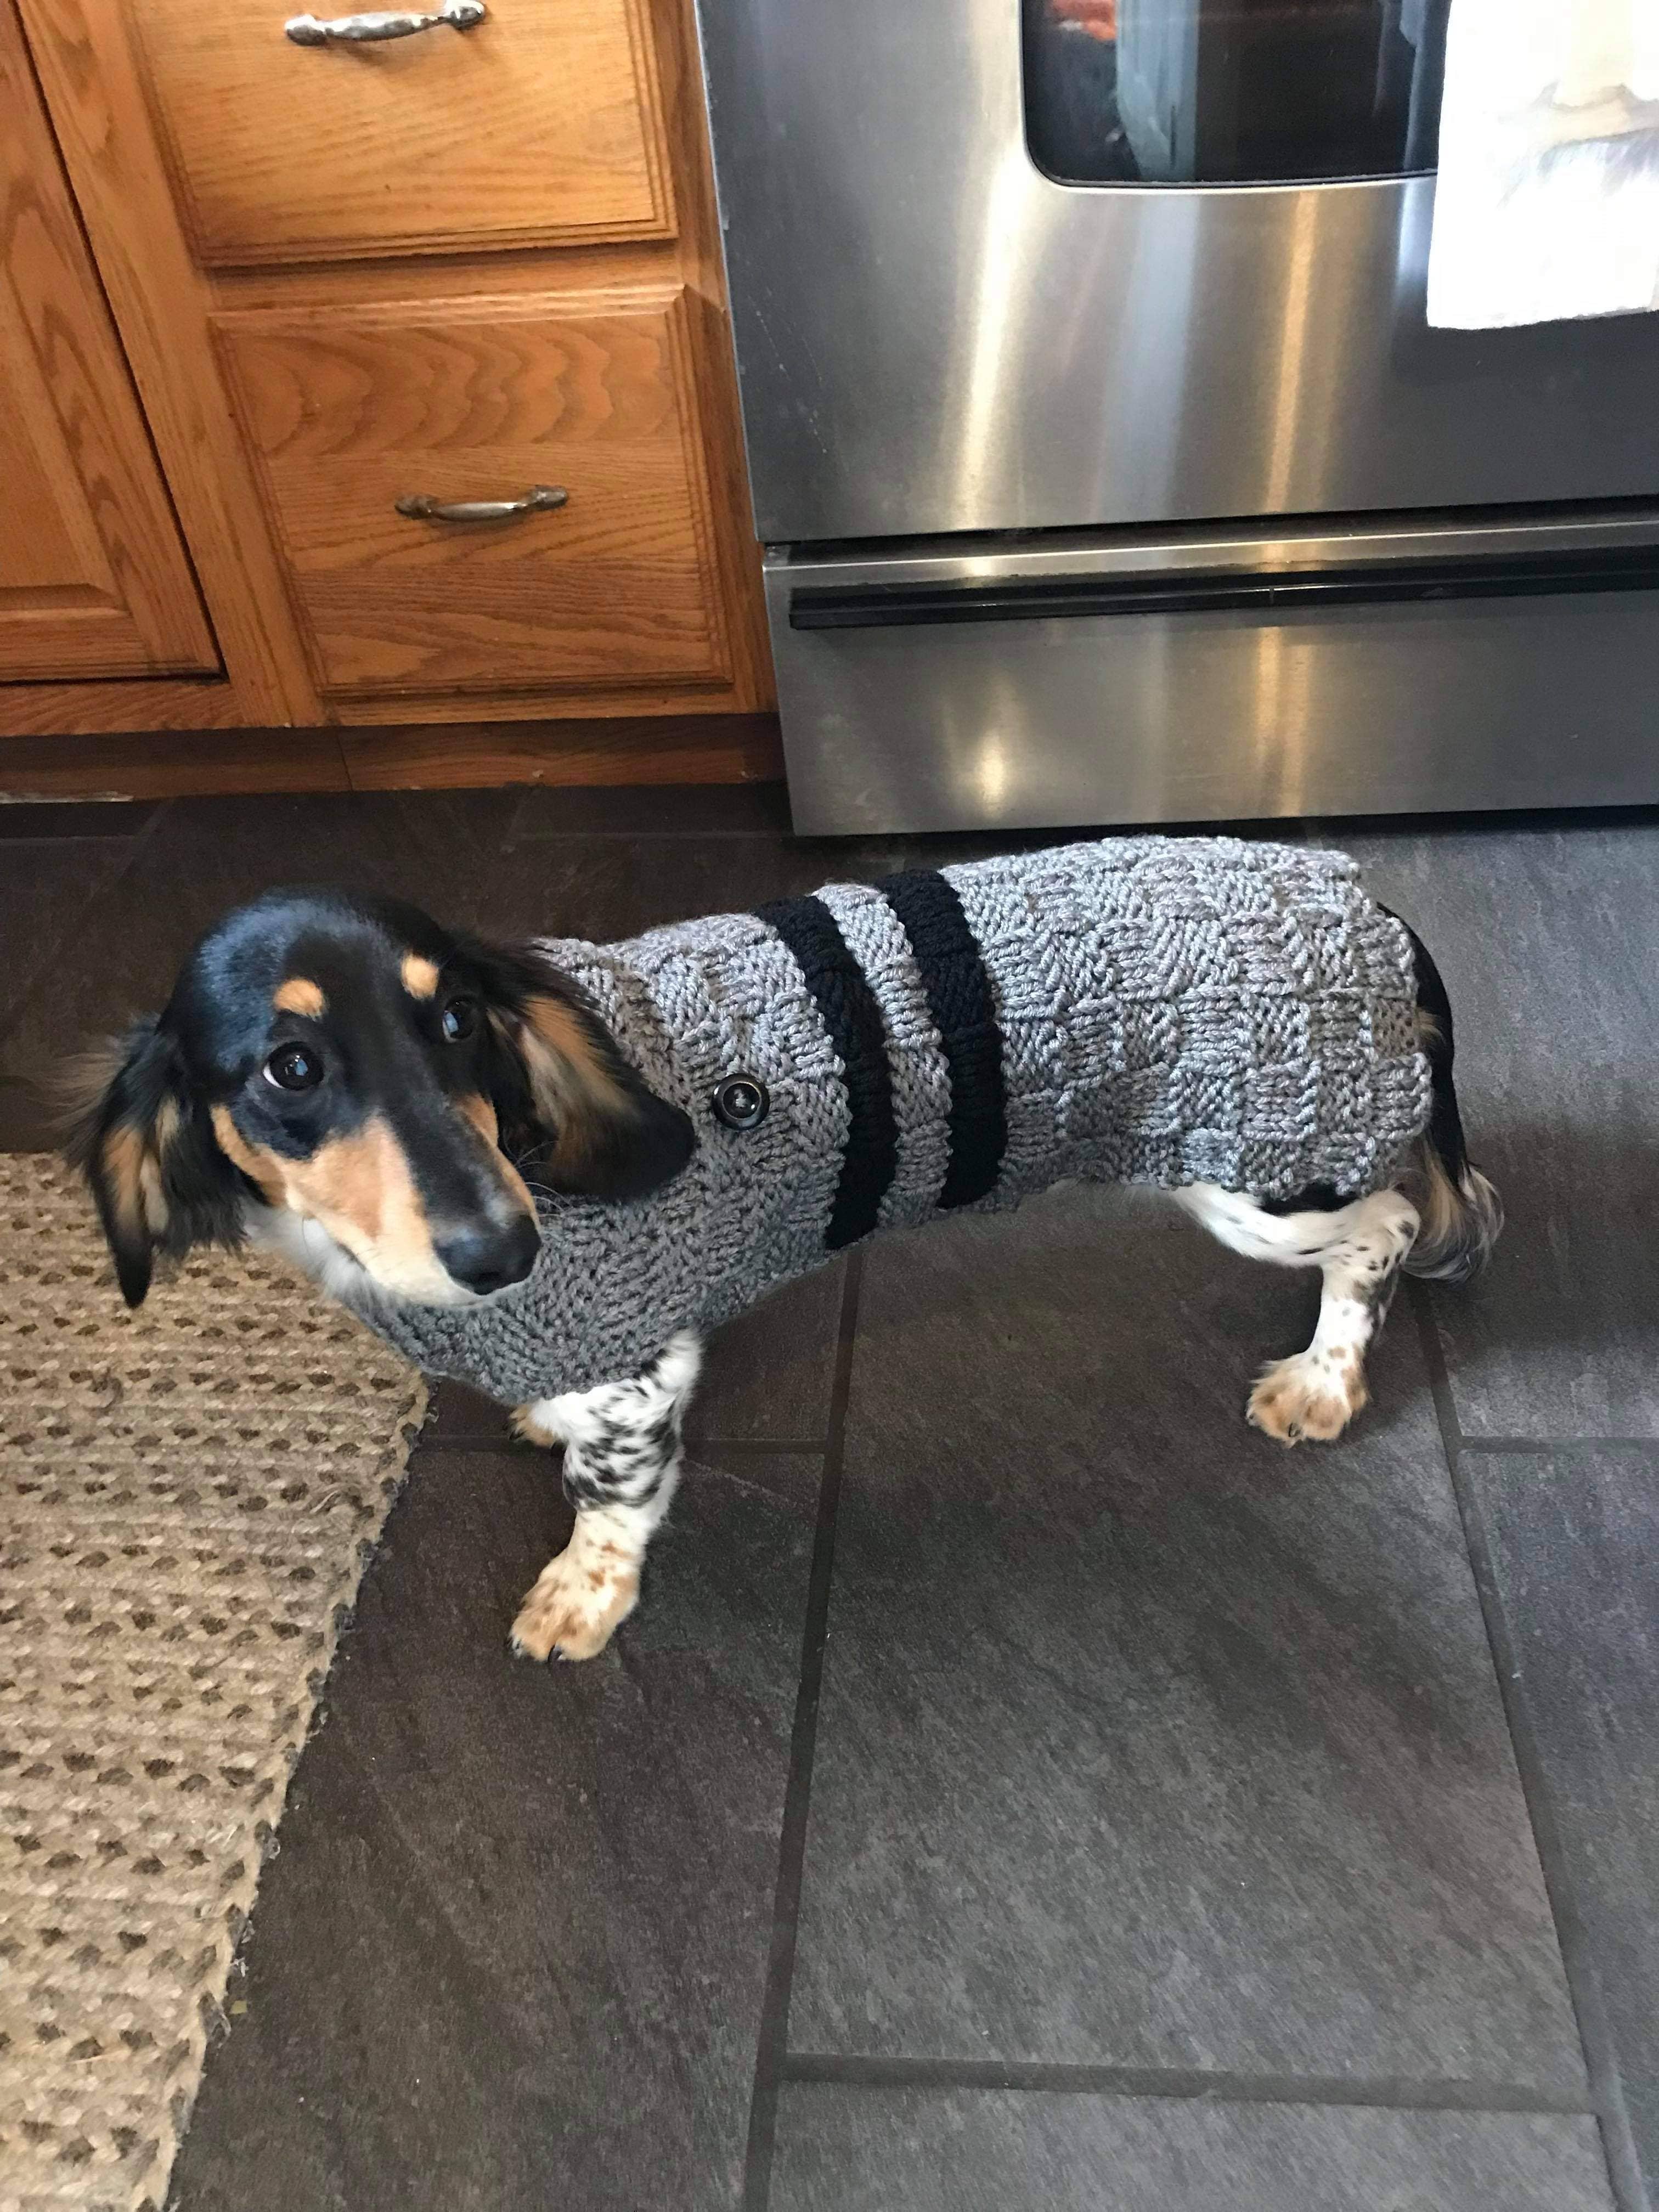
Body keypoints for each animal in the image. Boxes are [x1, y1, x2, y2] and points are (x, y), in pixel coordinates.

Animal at [65, 841, 1501, 1663]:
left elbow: (611, 1501)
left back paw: (1324, 1378)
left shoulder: (639, 1376)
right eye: (292, 1069)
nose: (500, 1248)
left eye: (460, 1020)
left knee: (1388, 1228)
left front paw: (581, 1595)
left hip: (1265, 1173)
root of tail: (1364, 895)